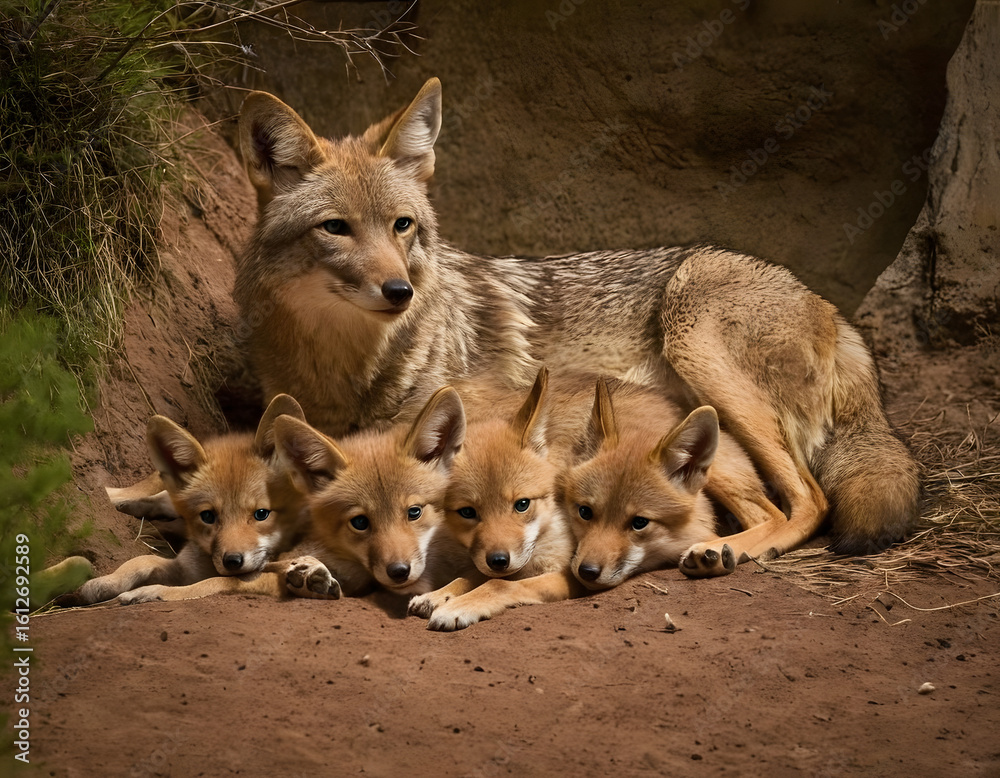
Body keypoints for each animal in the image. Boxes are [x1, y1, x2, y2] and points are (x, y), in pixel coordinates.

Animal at [235, 77, 920, 557]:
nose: (399, 290)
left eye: (402, 225)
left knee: (807, 504)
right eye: (336, 229)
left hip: (695, 342)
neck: (347, 367)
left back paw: (722, 552)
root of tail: (832, 310)